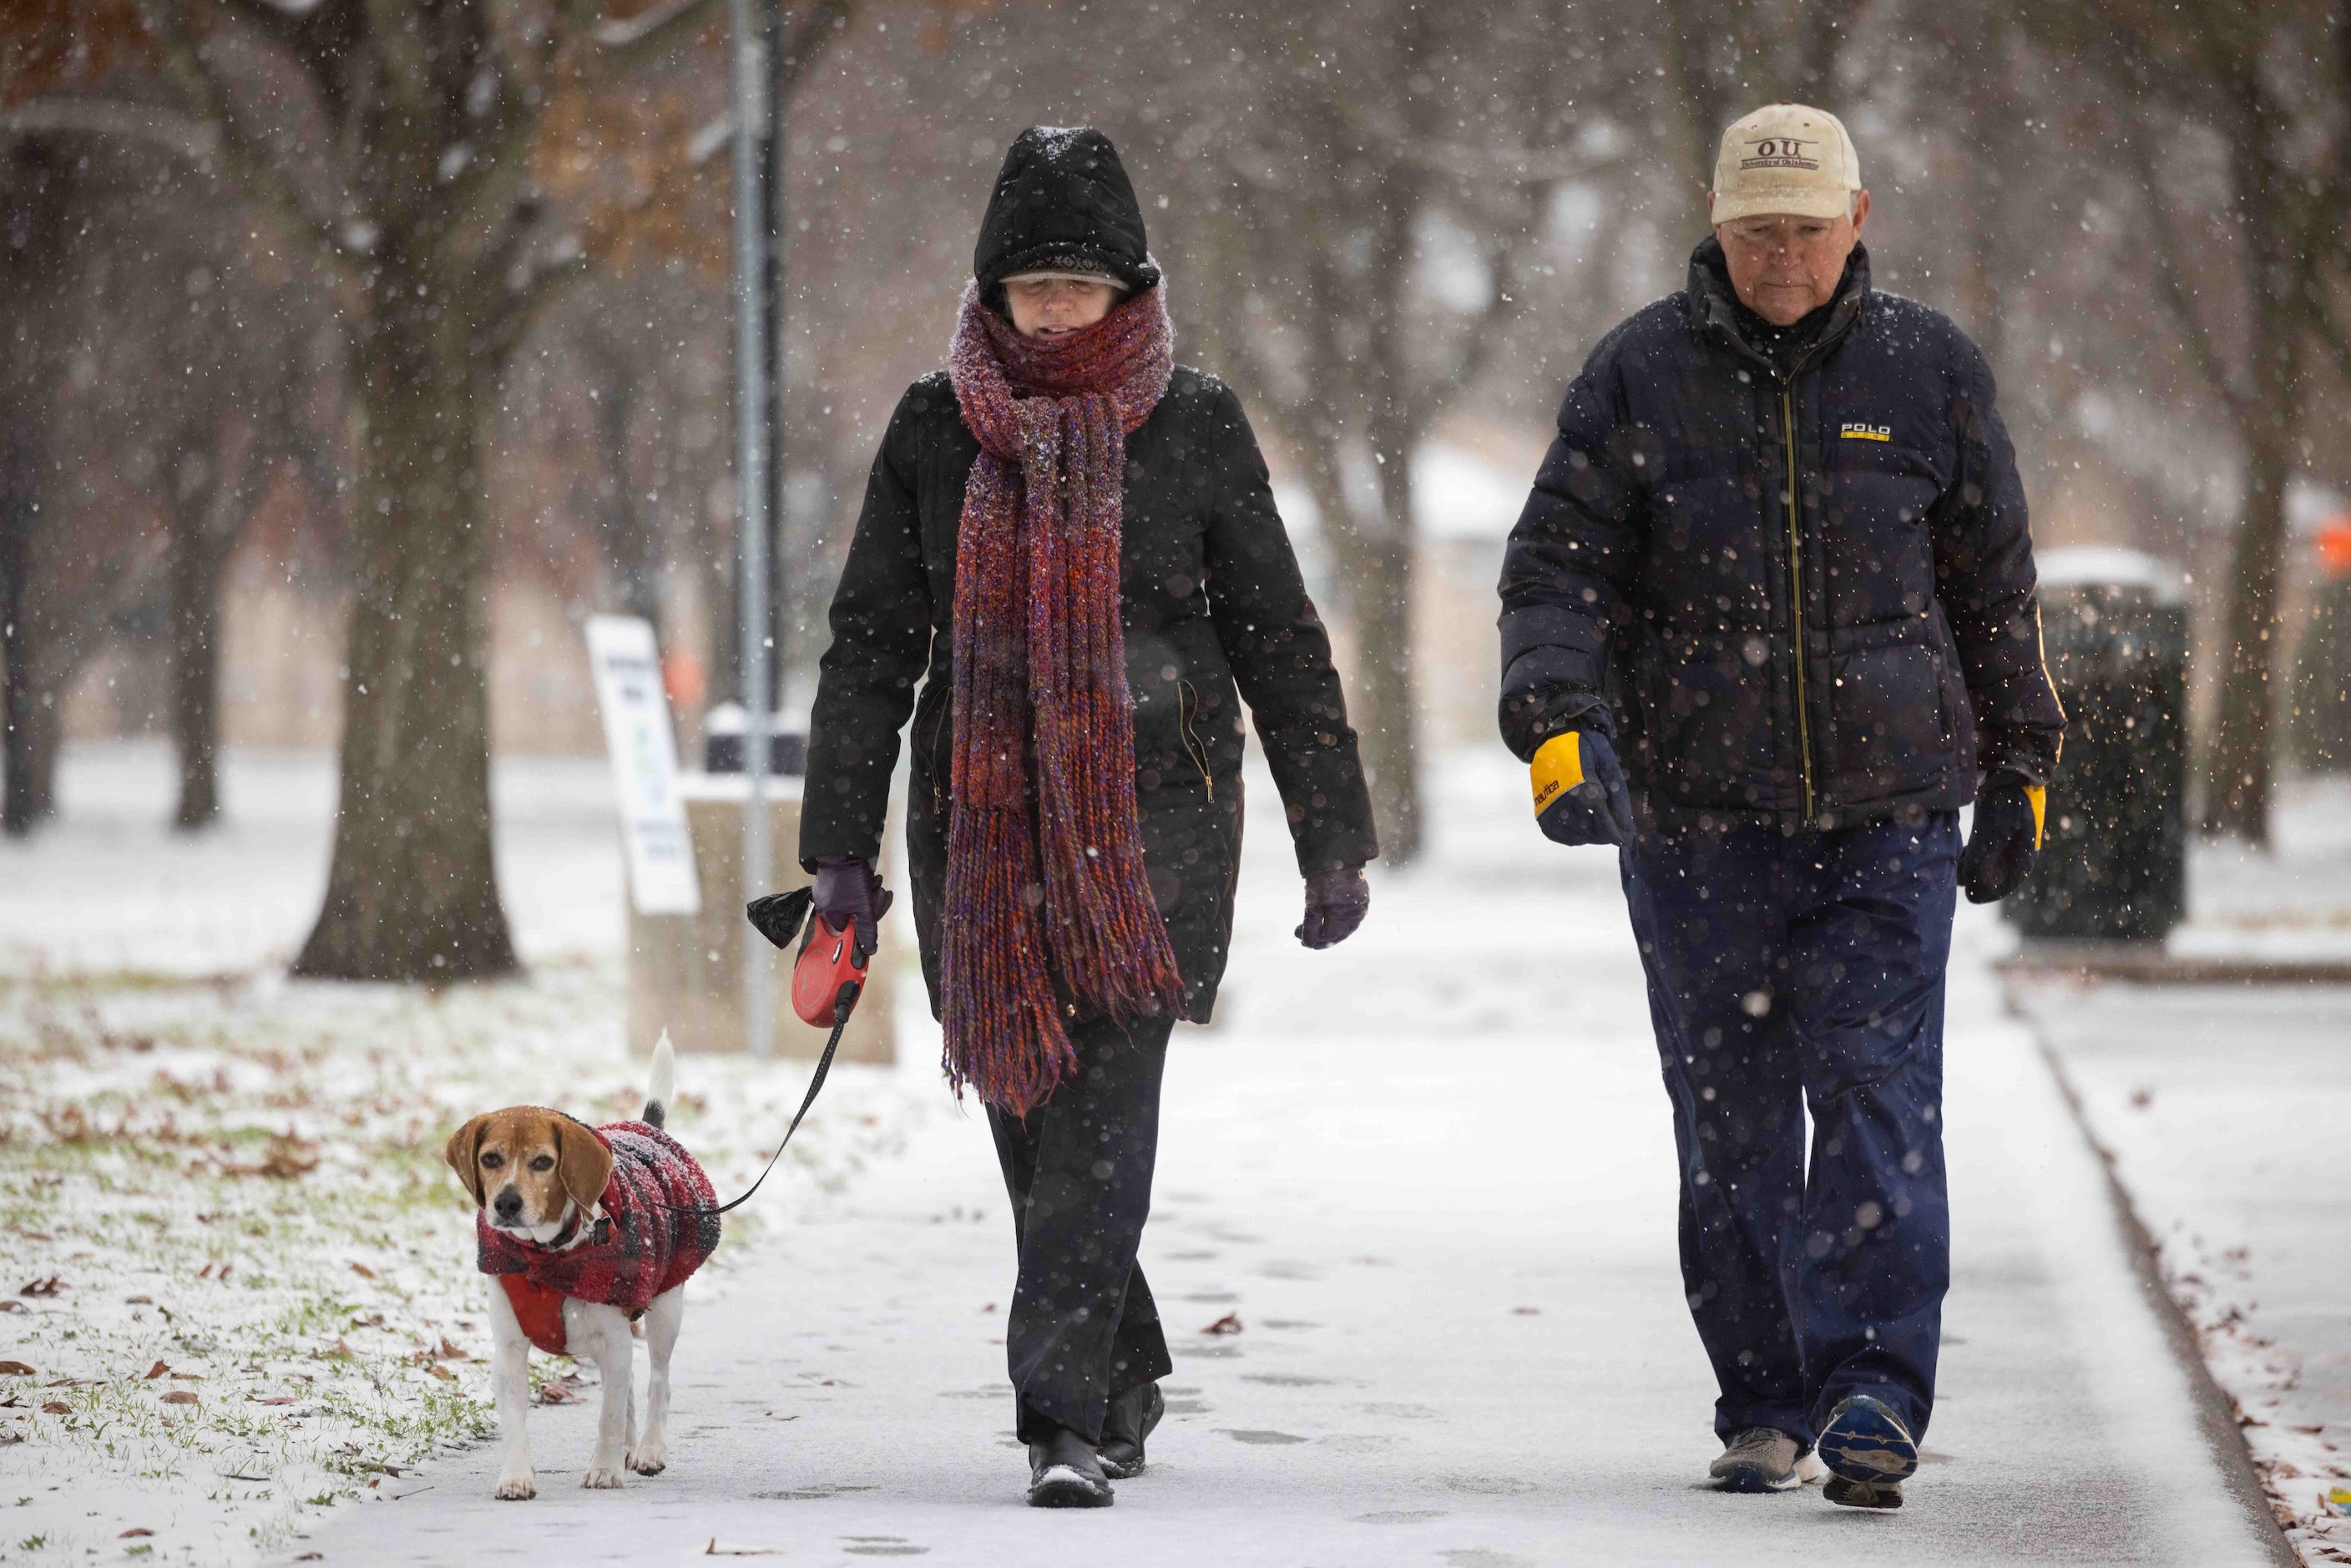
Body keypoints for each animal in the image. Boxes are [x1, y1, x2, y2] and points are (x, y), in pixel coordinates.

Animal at [442, 1034, 715, 1504]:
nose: (506, 1203)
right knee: (626, 1389)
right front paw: (516, 1477)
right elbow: (516, 1423)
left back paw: (648, 1450)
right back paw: (629, 1447)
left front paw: (604, 1470)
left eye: (543, 1162)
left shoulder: (614, 1338)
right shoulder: (509, 1349)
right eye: (491, 1159)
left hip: (664, 1313)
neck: (545, 1256)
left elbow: (609, 1415)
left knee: (656, 1382)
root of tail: (650, 1130)